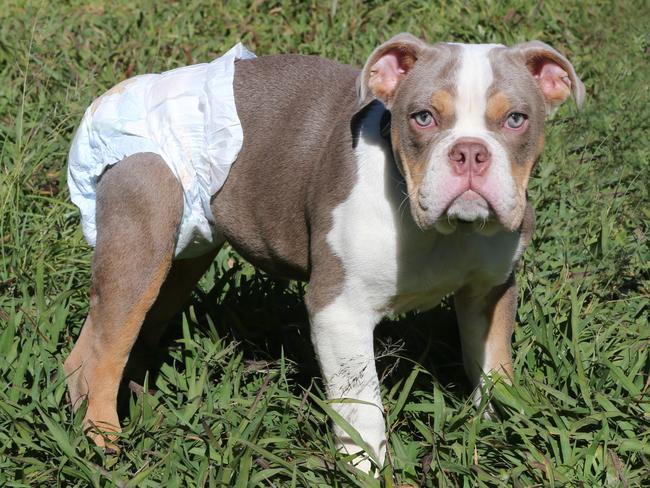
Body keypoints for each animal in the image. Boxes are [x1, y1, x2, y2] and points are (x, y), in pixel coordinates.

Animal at [64, 34, 584, 472]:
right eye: (423, 117)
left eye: (516, 119)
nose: (471, 152)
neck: (442, 229)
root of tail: (107, 98)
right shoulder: (340, 311)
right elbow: (361, 403)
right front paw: (366, 469)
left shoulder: (489, 292)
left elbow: (494, 369)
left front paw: (499, 434)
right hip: (143, 236)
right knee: (106, 350)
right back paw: (105, 445)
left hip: (184, 253)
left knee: (100, 340)